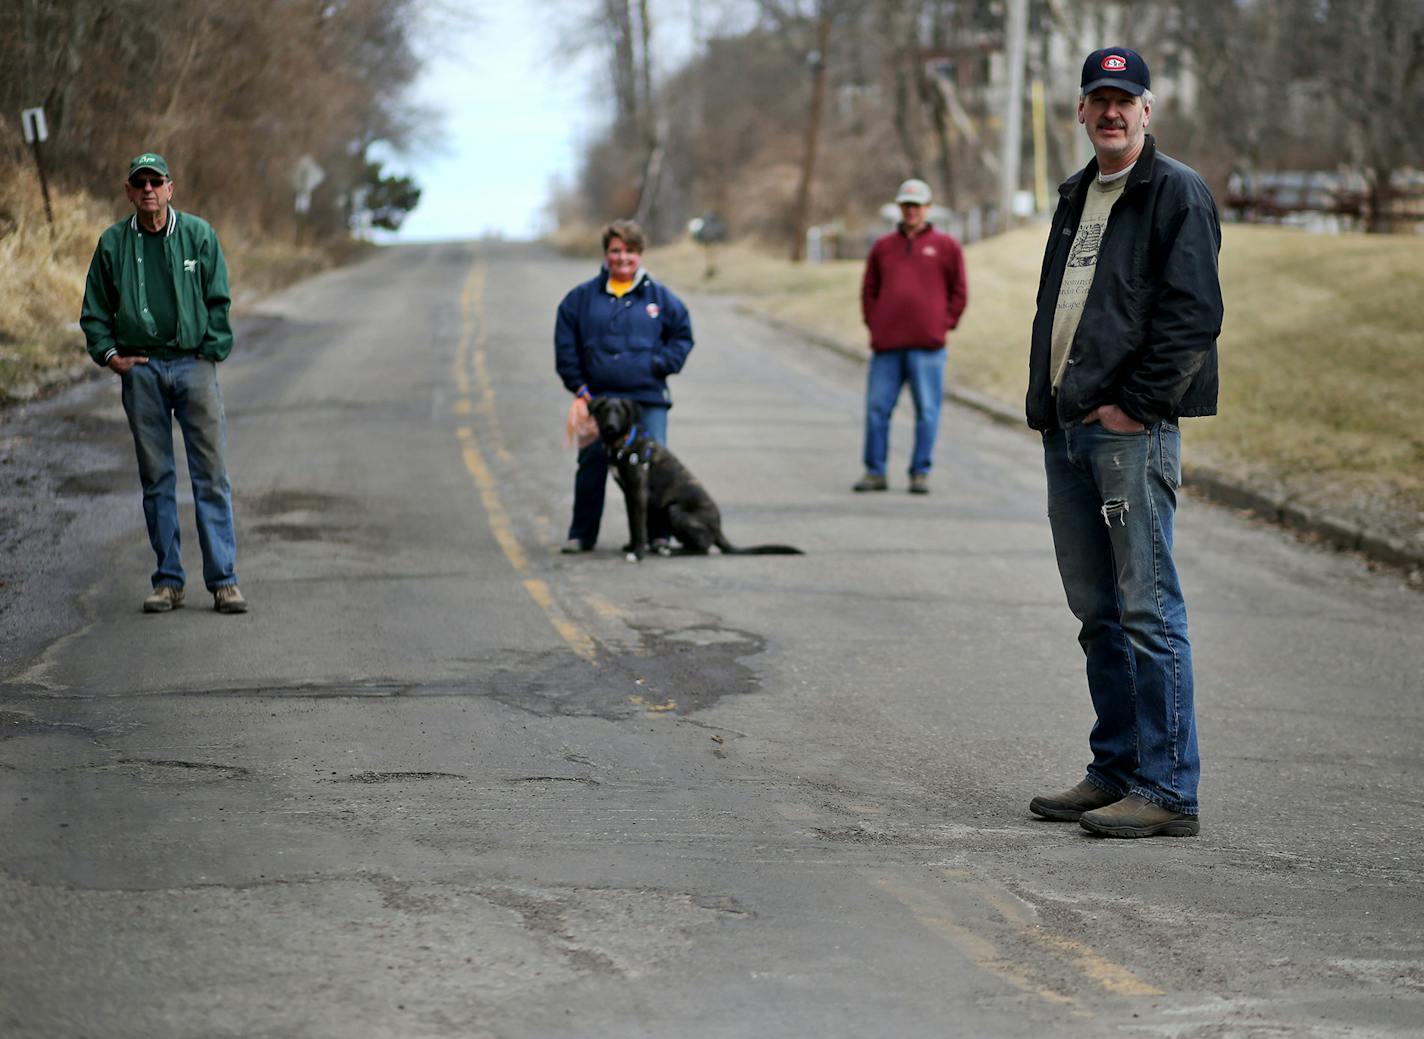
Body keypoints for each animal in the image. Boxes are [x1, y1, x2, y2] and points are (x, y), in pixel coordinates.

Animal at [586, 395, 808, 557]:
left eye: (620, 412)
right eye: (605, 411)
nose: (610, 426)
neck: (624, 441)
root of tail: (718, 529)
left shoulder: (639, 491)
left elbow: (639, 525)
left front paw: (638, 552)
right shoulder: (629, 494)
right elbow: (632, 523)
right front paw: (632, 546)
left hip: (675, 510)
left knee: (703, 548)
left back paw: (670, 551)